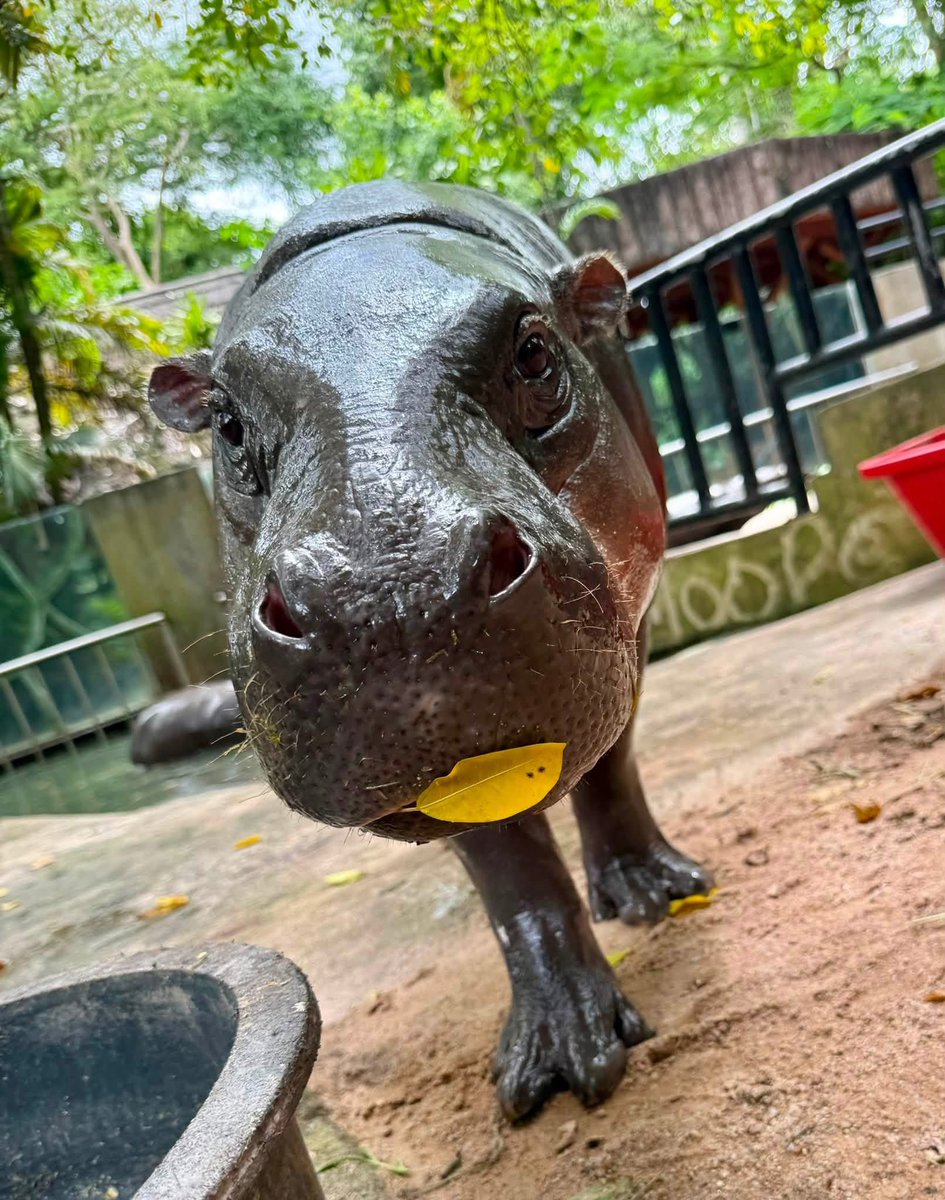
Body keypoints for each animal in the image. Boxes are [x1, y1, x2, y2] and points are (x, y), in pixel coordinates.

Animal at [148, 181, 713, 1120]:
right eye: (226, 423)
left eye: (535, 352)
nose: (389, 592)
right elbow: (509, 861)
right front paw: (561, 1056)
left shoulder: (632, 615)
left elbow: (613, 755)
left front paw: (653, 892)